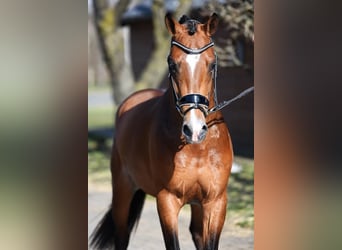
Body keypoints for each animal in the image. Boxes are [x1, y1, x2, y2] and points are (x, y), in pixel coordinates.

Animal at [89, 13, 234, 250]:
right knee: (122, 235)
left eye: (212, 64)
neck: (197, 150)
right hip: (122, 190)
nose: (194, 130)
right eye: (172, 64)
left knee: (196, 233)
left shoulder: (215, 202)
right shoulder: (167, 200)